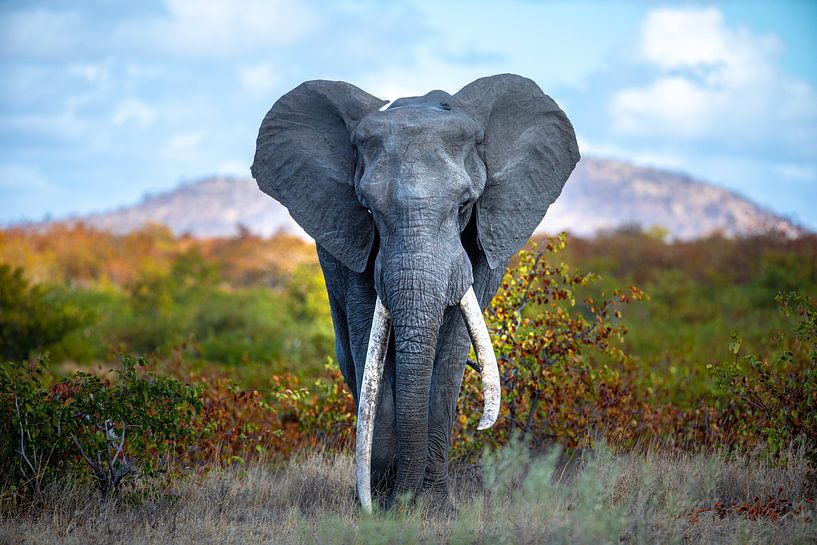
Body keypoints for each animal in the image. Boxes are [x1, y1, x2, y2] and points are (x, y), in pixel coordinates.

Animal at [251, 73, 579, 511]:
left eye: (465, 204)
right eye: (367, 209)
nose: (394, 501)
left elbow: (451, 354)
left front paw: (434, 508)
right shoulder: (353, 242)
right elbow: (370, 347)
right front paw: (383, 501)